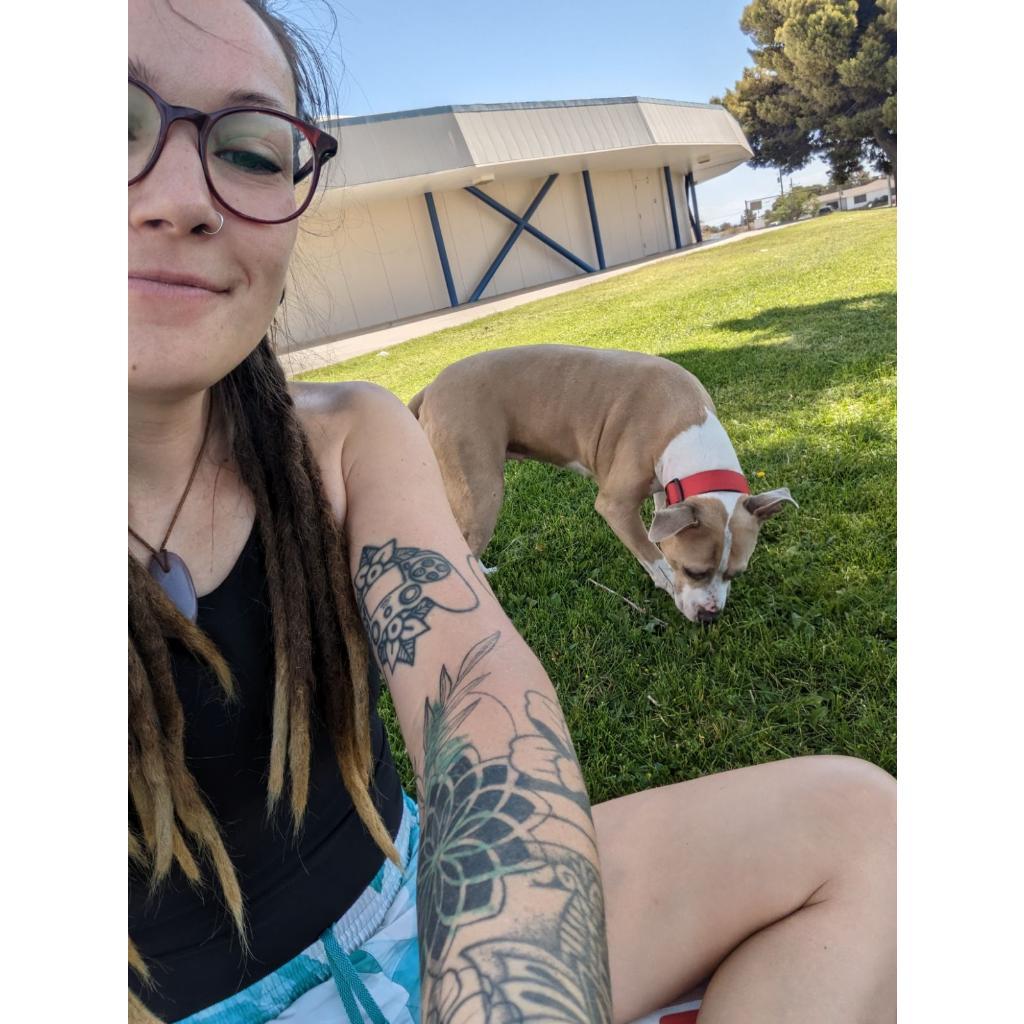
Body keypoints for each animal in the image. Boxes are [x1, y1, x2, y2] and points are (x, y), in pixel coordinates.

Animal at [408, 345, 795, 622]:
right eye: (693, 570)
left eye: (737, 573)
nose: (710, 617)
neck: (686, 425)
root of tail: (429, 388)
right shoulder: (615, 505)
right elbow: (651, 553)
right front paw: (666, 581)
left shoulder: (664, 490)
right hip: (482, 492)